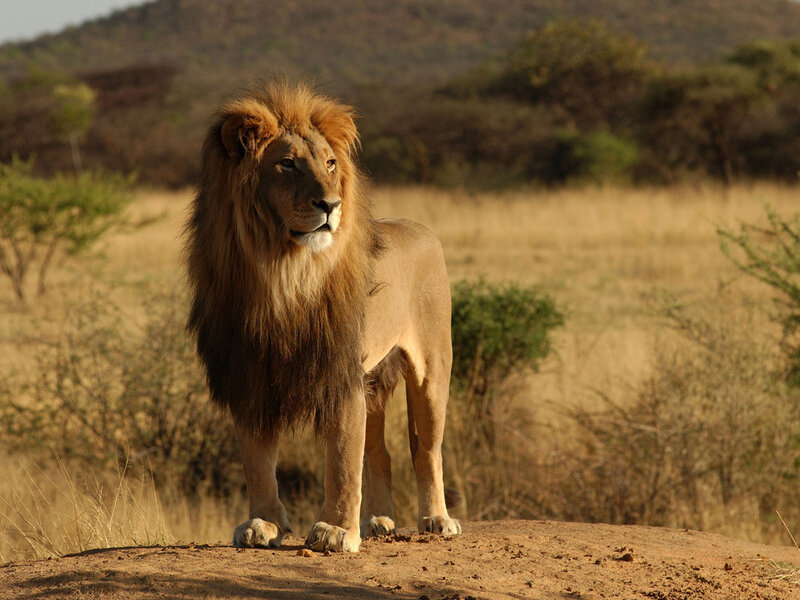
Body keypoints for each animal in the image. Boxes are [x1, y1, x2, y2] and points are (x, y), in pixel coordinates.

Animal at [186, 81, 461, 553]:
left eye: (330, 164)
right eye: (287, 164)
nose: (330, 204)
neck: (282, 273)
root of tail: (422, 229)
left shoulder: (339, 371)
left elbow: (342, 459)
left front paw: (335, 531)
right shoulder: (249, 373)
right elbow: (257, 460)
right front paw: (263, 524)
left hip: (432, 369)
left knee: (426, 449)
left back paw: (436, 519)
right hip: (374, 381)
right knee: (380, 452)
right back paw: (378, 521)